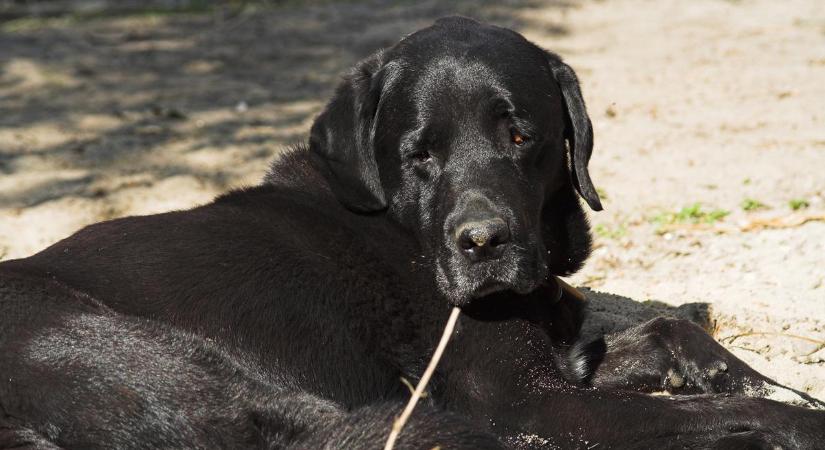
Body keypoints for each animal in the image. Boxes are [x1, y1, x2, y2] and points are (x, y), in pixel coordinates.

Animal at [1, 15, 824, 448]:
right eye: (418, 155)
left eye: (520, 136)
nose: (483, 244)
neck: (403, 231)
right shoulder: (528, 399)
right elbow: (719, 409)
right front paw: (774, 414)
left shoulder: (561, 357)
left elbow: (670, 333)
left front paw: (764, 379)